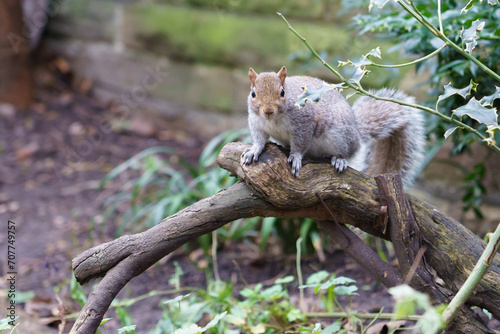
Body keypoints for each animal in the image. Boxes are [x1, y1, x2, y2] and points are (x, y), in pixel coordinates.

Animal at [242, 65, 426, 188]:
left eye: (282, 92)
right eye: (253, 94)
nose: (268, 111)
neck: (274, 119)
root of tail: (357, 132)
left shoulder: (305, 121)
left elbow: (301, 143)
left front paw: (295, 157)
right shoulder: (256, 122)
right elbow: (259, 139)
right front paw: (253, 150)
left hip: (340, 136)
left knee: (349, 151)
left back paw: (339, 160)